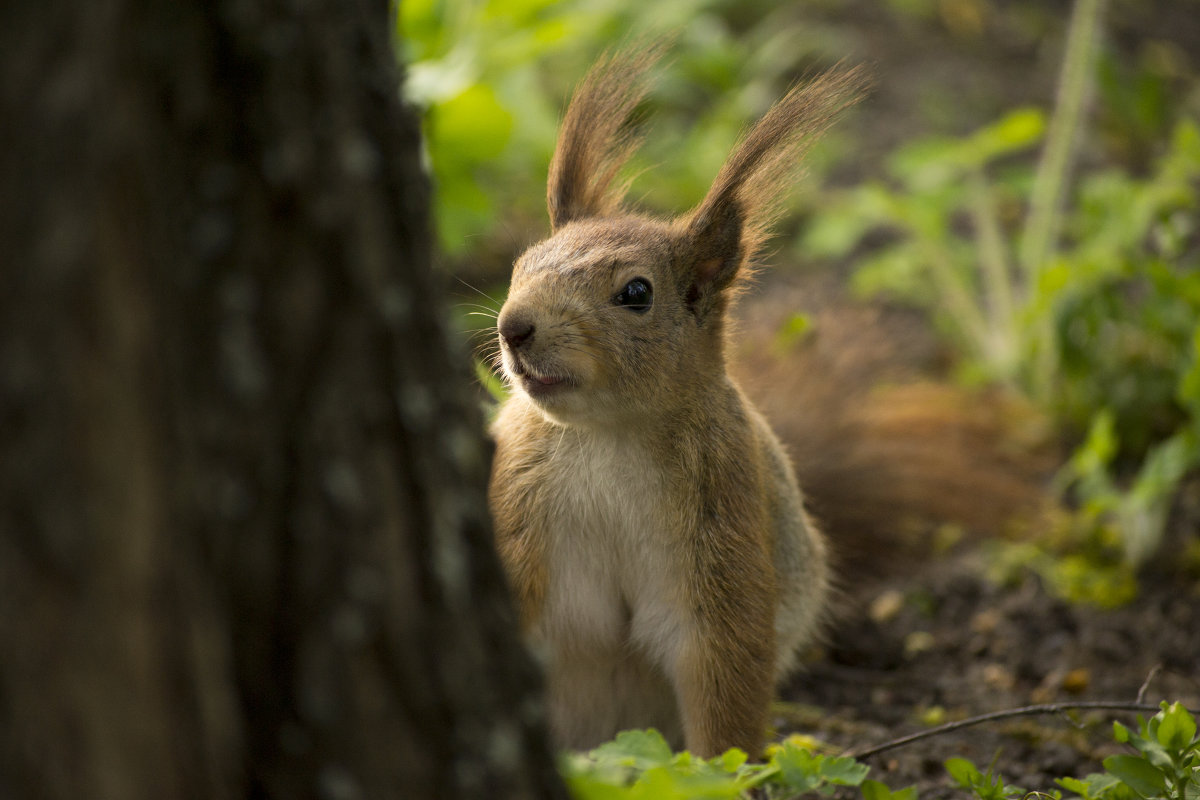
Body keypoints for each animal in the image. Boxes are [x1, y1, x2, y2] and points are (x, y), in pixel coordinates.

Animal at [487, 43, 873, 758]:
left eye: (636, 293)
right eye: (522, 263)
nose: (513, 326)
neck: (609, 435)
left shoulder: (722, 526)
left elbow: (721, 667)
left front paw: (725, 771)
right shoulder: (516, 505)